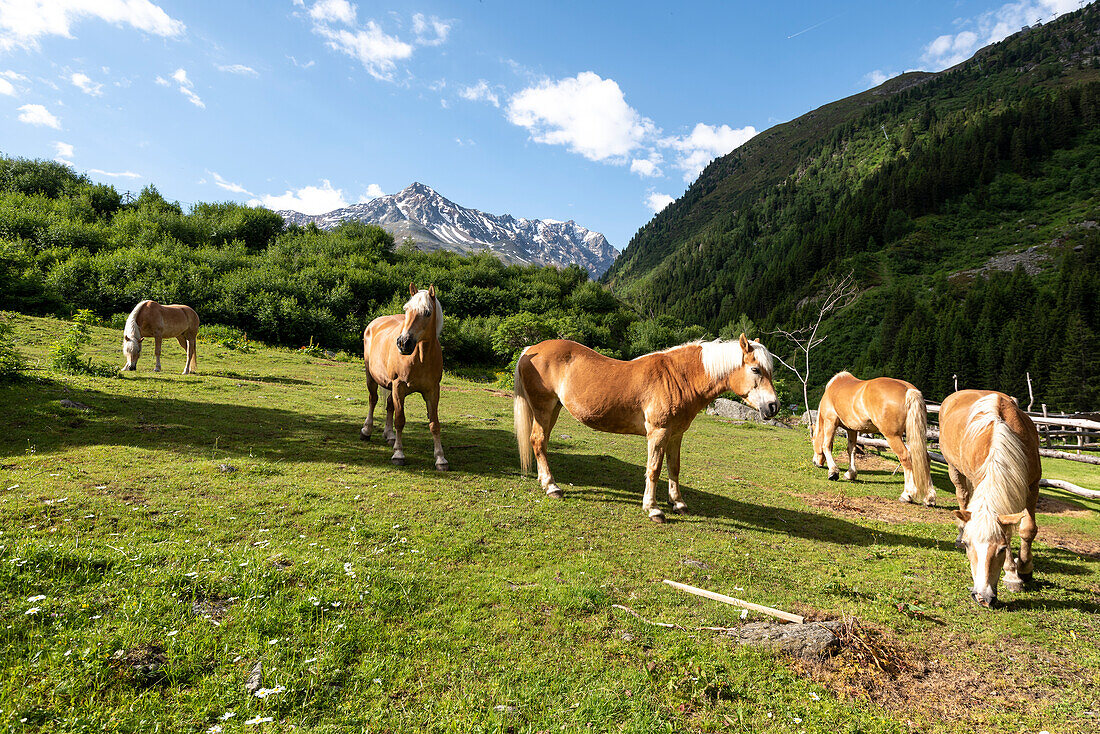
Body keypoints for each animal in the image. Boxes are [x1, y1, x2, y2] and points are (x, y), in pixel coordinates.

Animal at [358, 283, 448, 473]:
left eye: (427, 312)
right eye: (406, 309)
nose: (403, 343)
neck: (420, 357)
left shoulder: (433, 391)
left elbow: (434, 424)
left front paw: (440, 458)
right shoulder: (399, 386)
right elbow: (400, 420)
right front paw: (398, 454)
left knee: (389, 405)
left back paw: (389, 435)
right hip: (371, 378)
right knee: (373, 400)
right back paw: (366, 430)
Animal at [512, 336, 778, 526]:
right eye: (756, 370)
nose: (773, 406)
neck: (679, 378)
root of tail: (531, 349)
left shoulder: (676, 434)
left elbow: (674, 468)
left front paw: (678, 504)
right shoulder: (659, 433)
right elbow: (654, 469)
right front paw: (653, 509)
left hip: (553, 409)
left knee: (540, 443)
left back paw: (544, 481)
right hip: (544, 409)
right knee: (538, 441)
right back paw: (552, 486)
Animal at [814, 374, 932, 506]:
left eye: (813, 441)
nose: (815, 462)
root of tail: (909, 390)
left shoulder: (831, 421)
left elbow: (826, 445)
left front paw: (833, 472)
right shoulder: (852, 429)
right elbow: (851, 450)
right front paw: (850, 474)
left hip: (893, 436)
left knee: (906, 457)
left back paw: (907, 494)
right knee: (925, 459)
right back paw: (929, 498)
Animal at [937, 389, 1038, 607]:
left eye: (1001, 549)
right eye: (968, 545)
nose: (982, 597)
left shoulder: (1033, 485)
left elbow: (1028, 529)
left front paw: (1025, 569)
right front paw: (1012, 574)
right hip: (954, 469)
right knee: (963, 497)